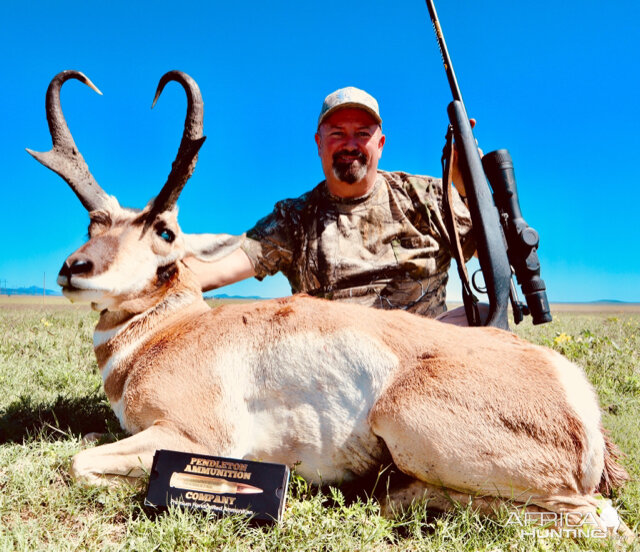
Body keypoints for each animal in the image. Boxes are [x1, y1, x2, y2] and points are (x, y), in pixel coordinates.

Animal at [30, 69, 632, 536]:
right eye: (94, 224)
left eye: (165, 232)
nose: (75, 268)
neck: (172, 332)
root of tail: (578, 399)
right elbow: (82, 444)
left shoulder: (192, 436)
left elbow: (79, 461)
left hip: (406, 416)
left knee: (599, 519)